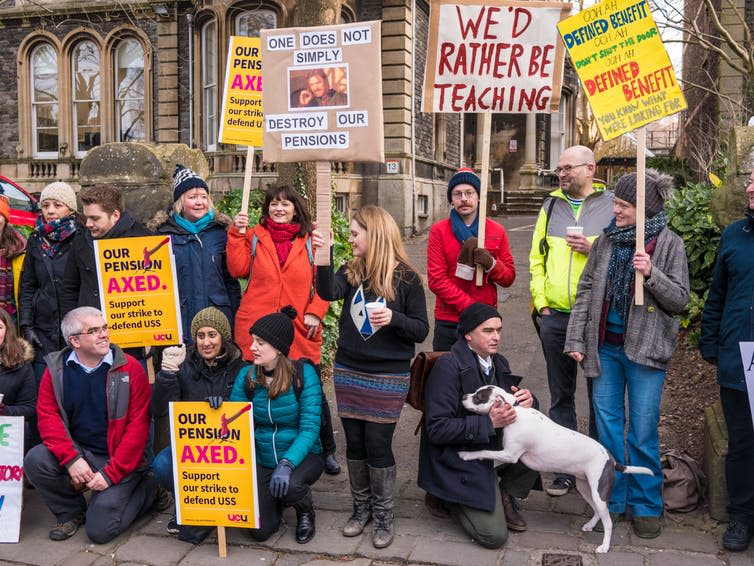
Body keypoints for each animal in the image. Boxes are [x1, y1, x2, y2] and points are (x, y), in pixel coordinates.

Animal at [456, 386, 648, 556]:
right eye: (475, 391)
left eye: (478, 397)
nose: (464, 396)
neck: (516, 410)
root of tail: (610, 458)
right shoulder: (507, 454)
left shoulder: (509, 455)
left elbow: (484, 452)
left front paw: (466, 455)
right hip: (586, 489)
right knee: (597, 512)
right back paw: (590, 525)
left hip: (598, 493)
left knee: (608, 522)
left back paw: (604, 547)